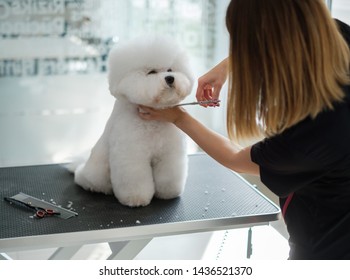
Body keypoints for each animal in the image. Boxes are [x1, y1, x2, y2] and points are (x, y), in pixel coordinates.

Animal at [73, 36, 194, 207]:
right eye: (151, 72)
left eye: (170, 69)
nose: (170, 78)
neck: (153, 124)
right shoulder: (131, 156)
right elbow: (135, 180)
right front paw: (136, 198)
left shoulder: (170, 154)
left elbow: (169, 176)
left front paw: (168, 193)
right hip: (96, 173)